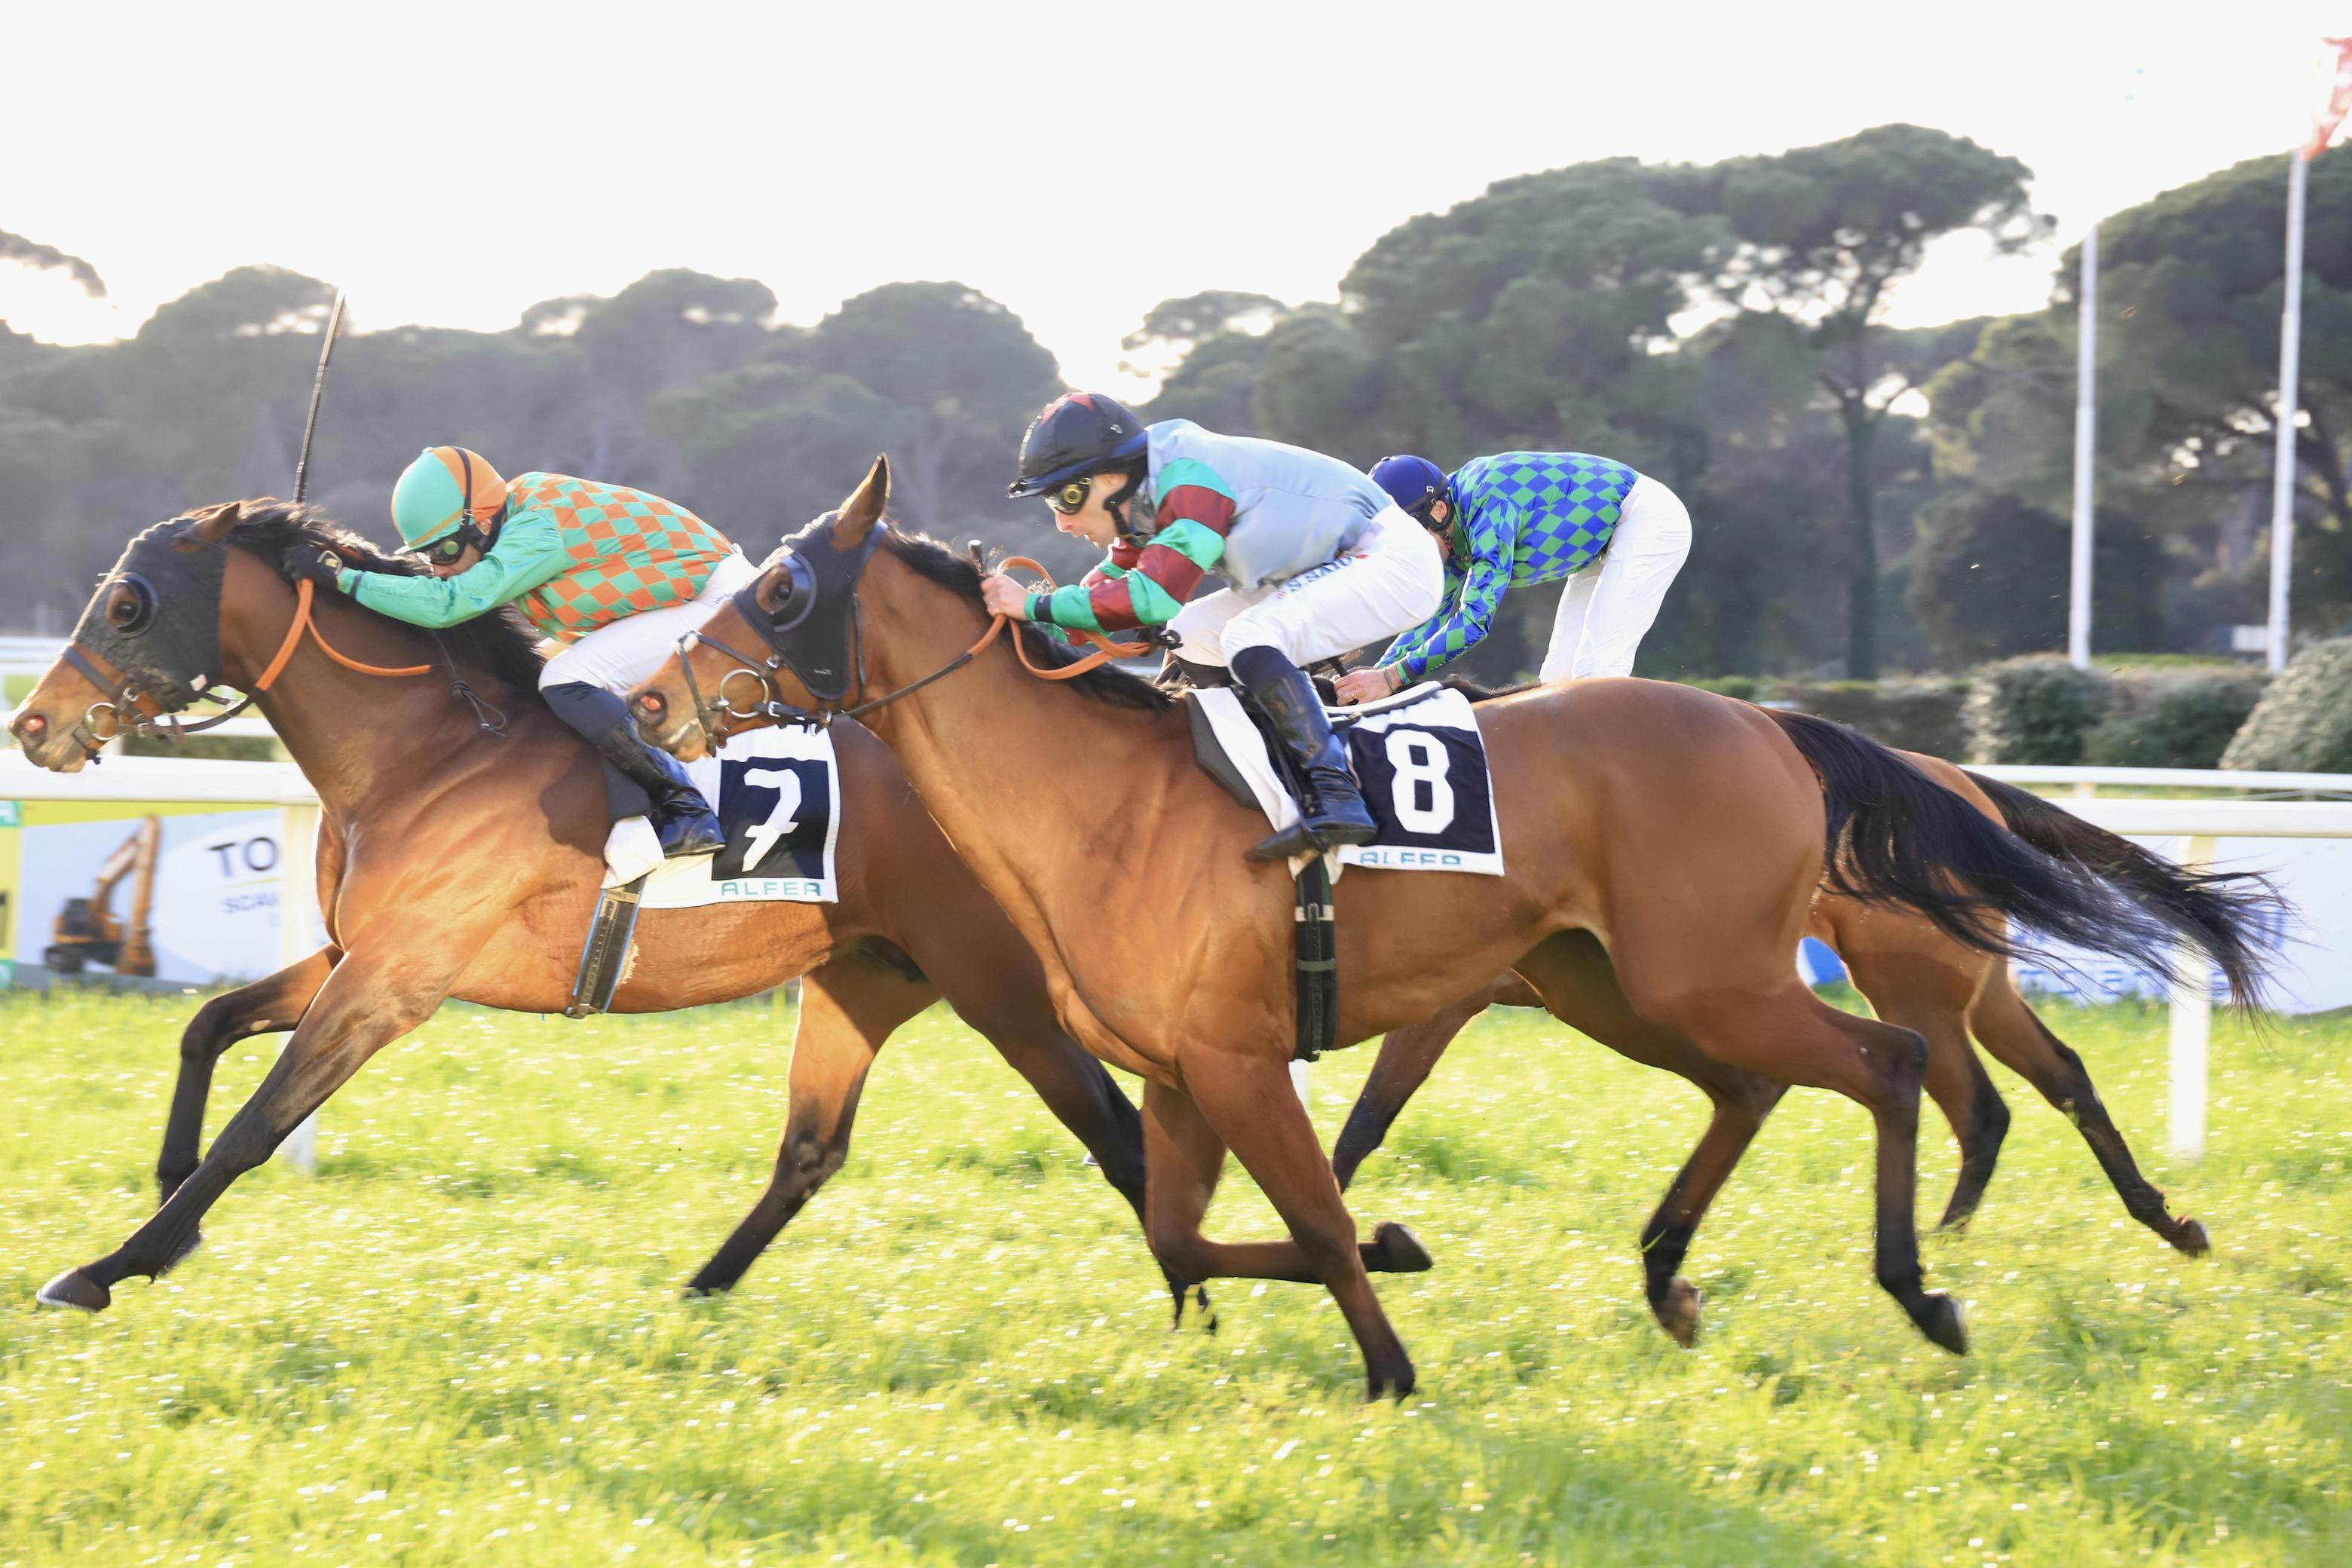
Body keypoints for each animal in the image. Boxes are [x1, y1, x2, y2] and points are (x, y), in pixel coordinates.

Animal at [2, 503, 1176, 1316]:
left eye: (126, 603)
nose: (33, 724)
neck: (427, 752)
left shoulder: (394, 981)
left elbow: (259, 1121)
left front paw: (116, 1262)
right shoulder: (358, 951)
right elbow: (207, 1026)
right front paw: (164, 1198)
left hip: (1001, 989)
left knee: (1123, 1140)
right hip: (867, 976)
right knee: (811, 1149)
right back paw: (699, 1291)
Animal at [625, 455, 2258, 1401]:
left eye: (781, 588)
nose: (643, 702)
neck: (1103, 802)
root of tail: (1777, 725)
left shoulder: (1244, 1057)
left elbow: (1308, 1213)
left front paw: (1393, 1362)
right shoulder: (1179, 1071)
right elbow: (1189, 1229)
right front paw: (1397, 1253)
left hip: (1716, 976)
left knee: (1897, 1065)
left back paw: (1923, 1284)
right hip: (1624, 987)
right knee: (1777, 1085)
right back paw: (1670, 1273)